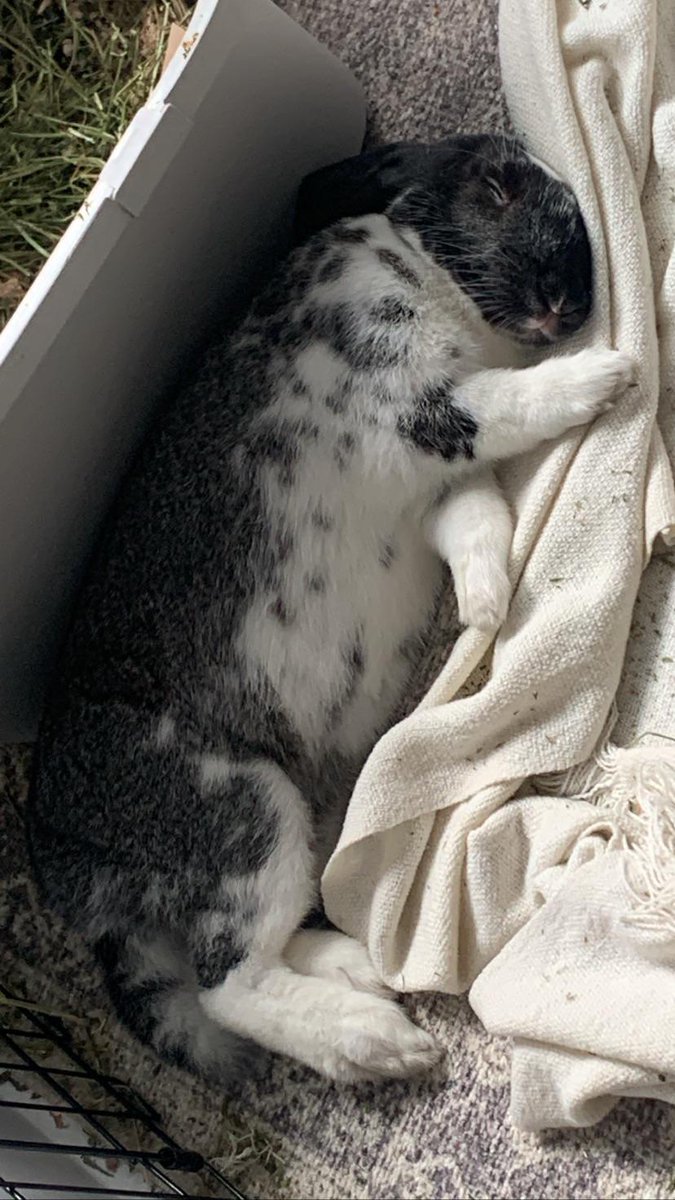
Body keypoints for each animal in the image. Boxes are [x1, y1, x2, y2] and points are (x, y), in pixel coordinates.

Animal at [27, 134, 634, 1087]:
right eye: (495, 185)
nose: (567, 300)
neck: (420, 265)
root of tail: (70, 868)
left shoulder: (437, 491)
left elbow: (475, 521)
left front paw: (487, 604)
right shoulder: (421, 407)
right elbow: (510, 403)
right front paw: (610, 372)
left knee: (261, 950)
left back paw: (360, 968)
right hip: (241, 812)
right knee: (228, 984)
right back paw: (377, 1042)